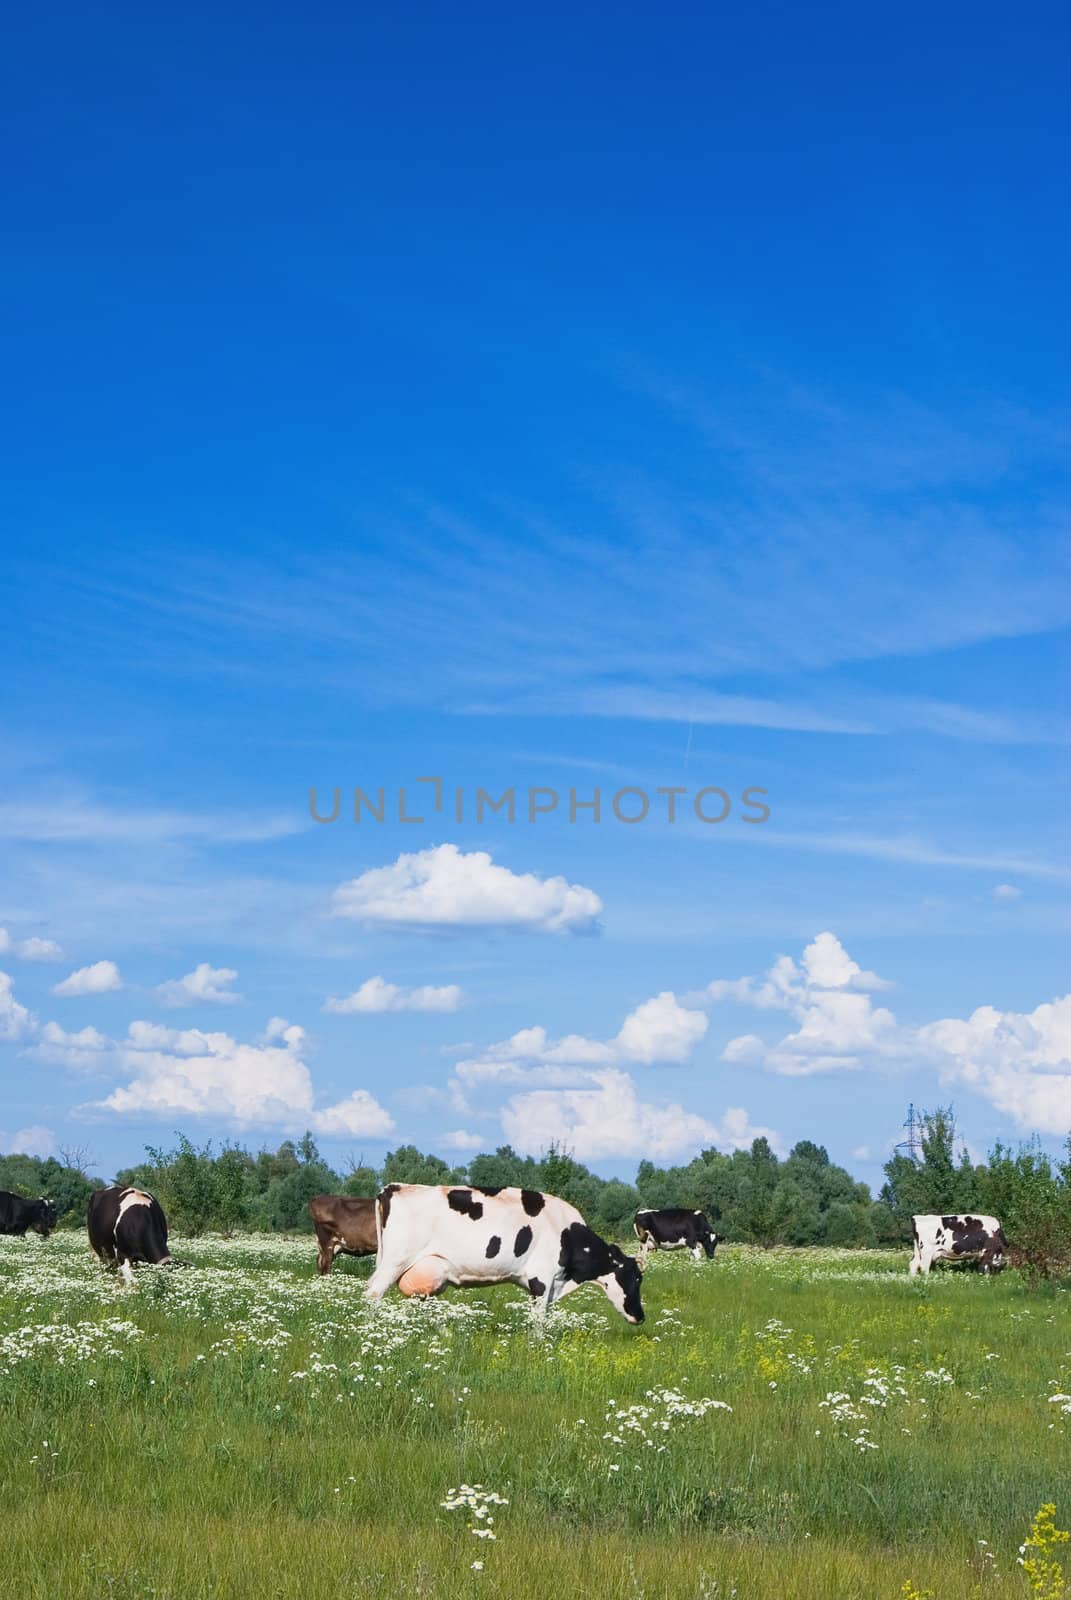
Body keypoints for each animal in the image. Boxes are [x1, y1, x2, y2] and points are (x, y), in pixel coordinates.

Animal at [363, 1177, 643, 1324]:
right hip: (395, 1261)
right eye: (635, 1279)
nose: (641, 1316)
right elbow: (539, 1320)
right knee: (373, 1293)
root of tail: (394, 1187)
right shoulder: (541, 1278)